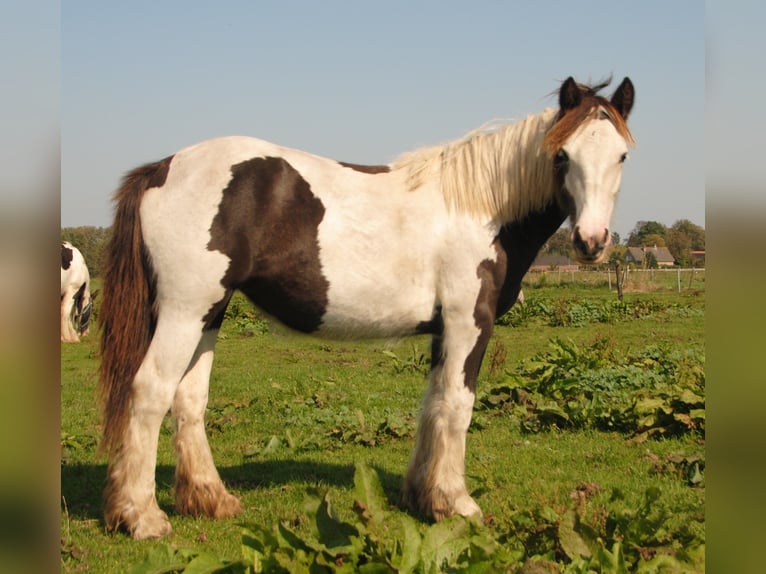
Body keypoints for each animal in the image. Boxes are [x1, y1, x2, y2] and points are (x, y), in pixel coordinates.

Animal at [97, 76, 636, 540]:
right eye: (562, 155)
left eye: (622, 156)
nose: (591, 243)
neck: (484, 209)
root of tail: (162, 169)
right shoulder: (469, 323)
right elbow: (458, 404)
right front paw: (456, 503)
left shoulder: (443, 330)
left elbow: (433, 403)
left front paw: (422, 497)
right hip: (184, 312)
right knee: (150, 392)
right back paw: (142, 517)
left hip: (209, 313)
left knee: (189, 399)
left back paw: (210, 500)